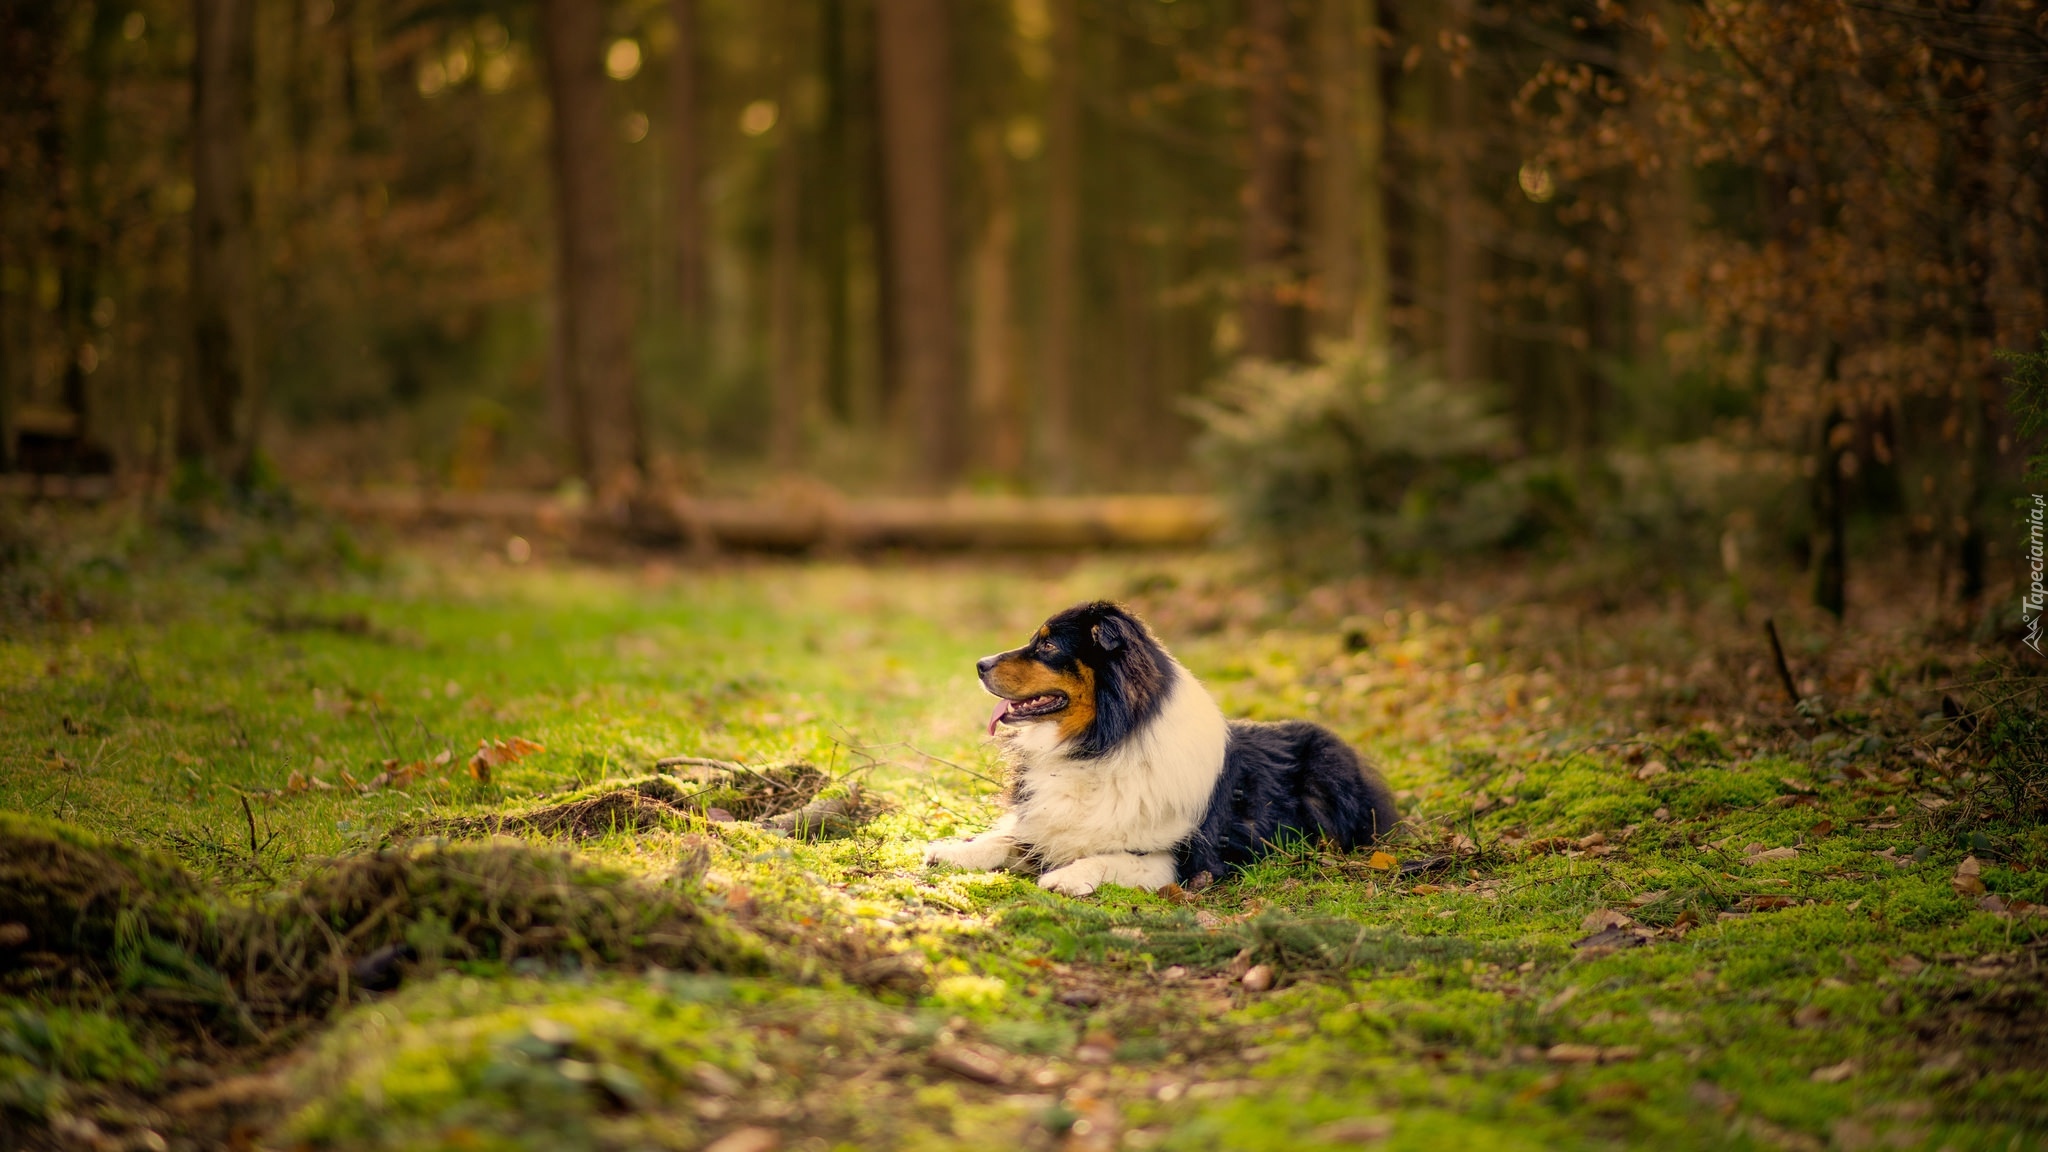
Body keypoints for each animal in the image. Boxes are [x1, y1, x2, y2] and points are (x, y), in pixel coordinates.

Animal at [925, 594, 1392, 893]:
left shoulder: (1177, 861)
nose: (980, 664)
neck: (1104, 741)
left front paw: (1066, 877)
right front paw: (952, 851)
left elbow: (1110, 857)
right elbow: (1005, 837)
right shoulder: (1045, 819)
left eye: (1049, 645)